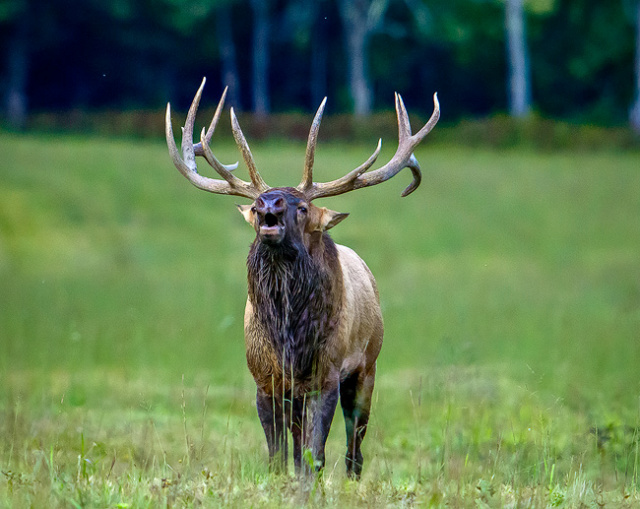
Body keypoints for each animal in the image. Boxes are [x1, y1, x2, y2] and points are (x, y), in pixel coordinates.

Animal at [164, 78, 440, 476]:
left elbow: (316, 453)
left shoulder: (328, 373)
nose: (268, 203)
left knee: (355, 445)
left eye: (303, 207)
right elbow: (279, 455)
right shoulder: (264, 380)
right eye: (255, 207)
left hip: (368, 364)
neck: (289, 339)